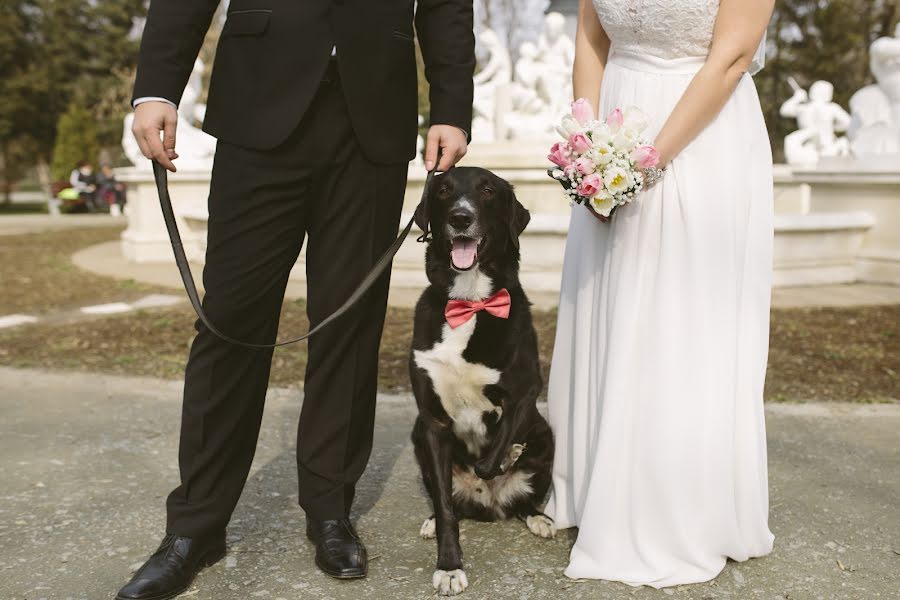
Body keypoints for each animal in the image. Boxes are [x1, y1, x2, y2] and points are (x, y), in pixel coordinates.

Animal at [410, 168, 556, 596]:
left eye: (488, 191)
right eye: (443, 190)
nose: (460, 218)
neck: (471, 302)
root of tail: (489, 506)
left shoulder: (525, 393)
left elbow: (492, 456)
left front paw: (506, 456)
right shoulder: (432, 422)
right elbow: (446, 506)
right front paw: (449, 567)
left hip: (547, 435)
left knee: (524, 497)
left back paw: (539, 515)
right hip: (417, 436)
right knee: (448, 500)